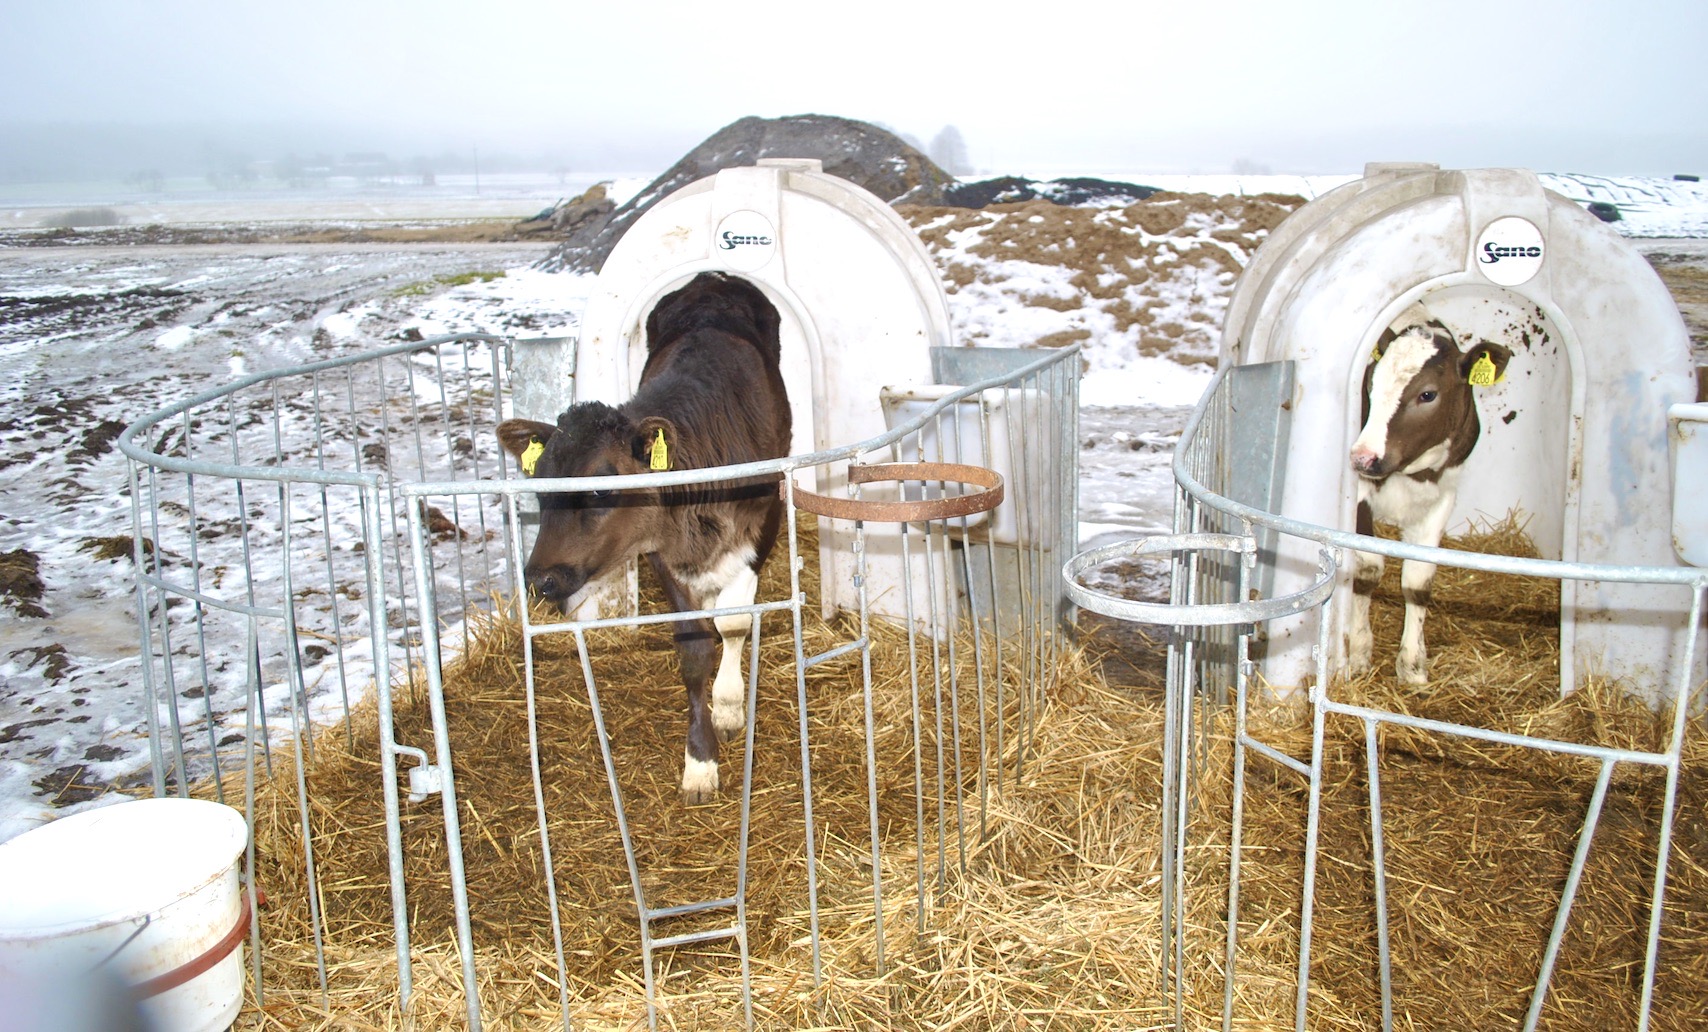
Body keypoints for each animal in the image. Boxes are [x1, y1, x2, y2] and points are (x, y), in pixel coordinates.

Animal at [495, 273, 785, 806]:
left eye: (600, 489)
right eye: (540, 487)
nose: (540, 577)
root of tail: (712, 277)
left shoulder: (765, 523)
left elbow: (735, 624)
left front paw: (729, 705)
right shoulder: (659, 548)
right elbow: (694, 646)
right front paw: (700, 762)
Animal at [1345, 304, 1509, 686]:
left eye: (1428, 394)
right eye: (1371, 384)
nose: (1363, 457)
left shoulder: (1443, 493)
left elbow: (1418, 581)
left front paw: (1413, 665)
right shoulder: (1360, 489)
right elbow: (1367, 570)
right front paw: (1358, 651)